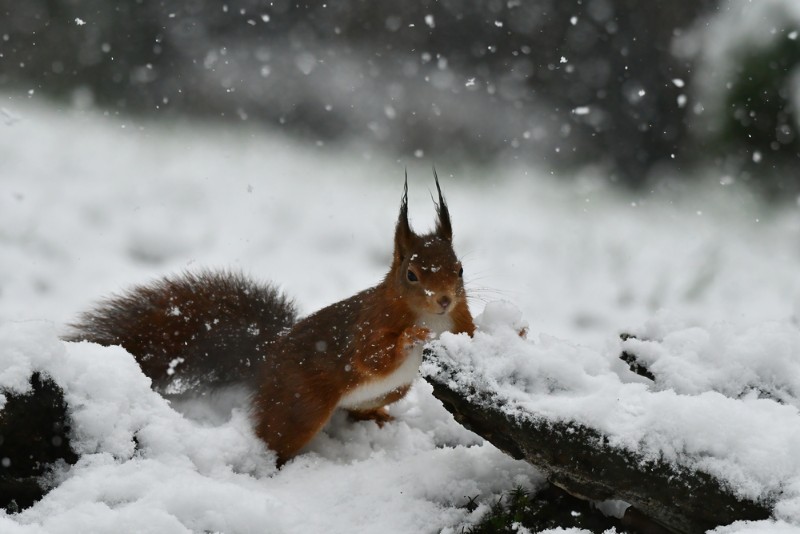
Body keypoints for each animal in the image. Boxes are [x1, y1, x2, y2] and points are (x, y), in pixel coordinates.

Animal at [67, 175, 476, 464]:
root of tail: (269, 353)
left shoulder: (460, 321)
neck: (432, 317)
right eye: (412, 275)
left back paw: (379, 418)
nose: (443, 300)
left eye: (459, 269)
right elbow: (369, 357)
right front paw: (411, 336)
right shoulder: (369, 325)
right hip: (300, 404)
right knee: (277, 436)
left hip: (390, 391)